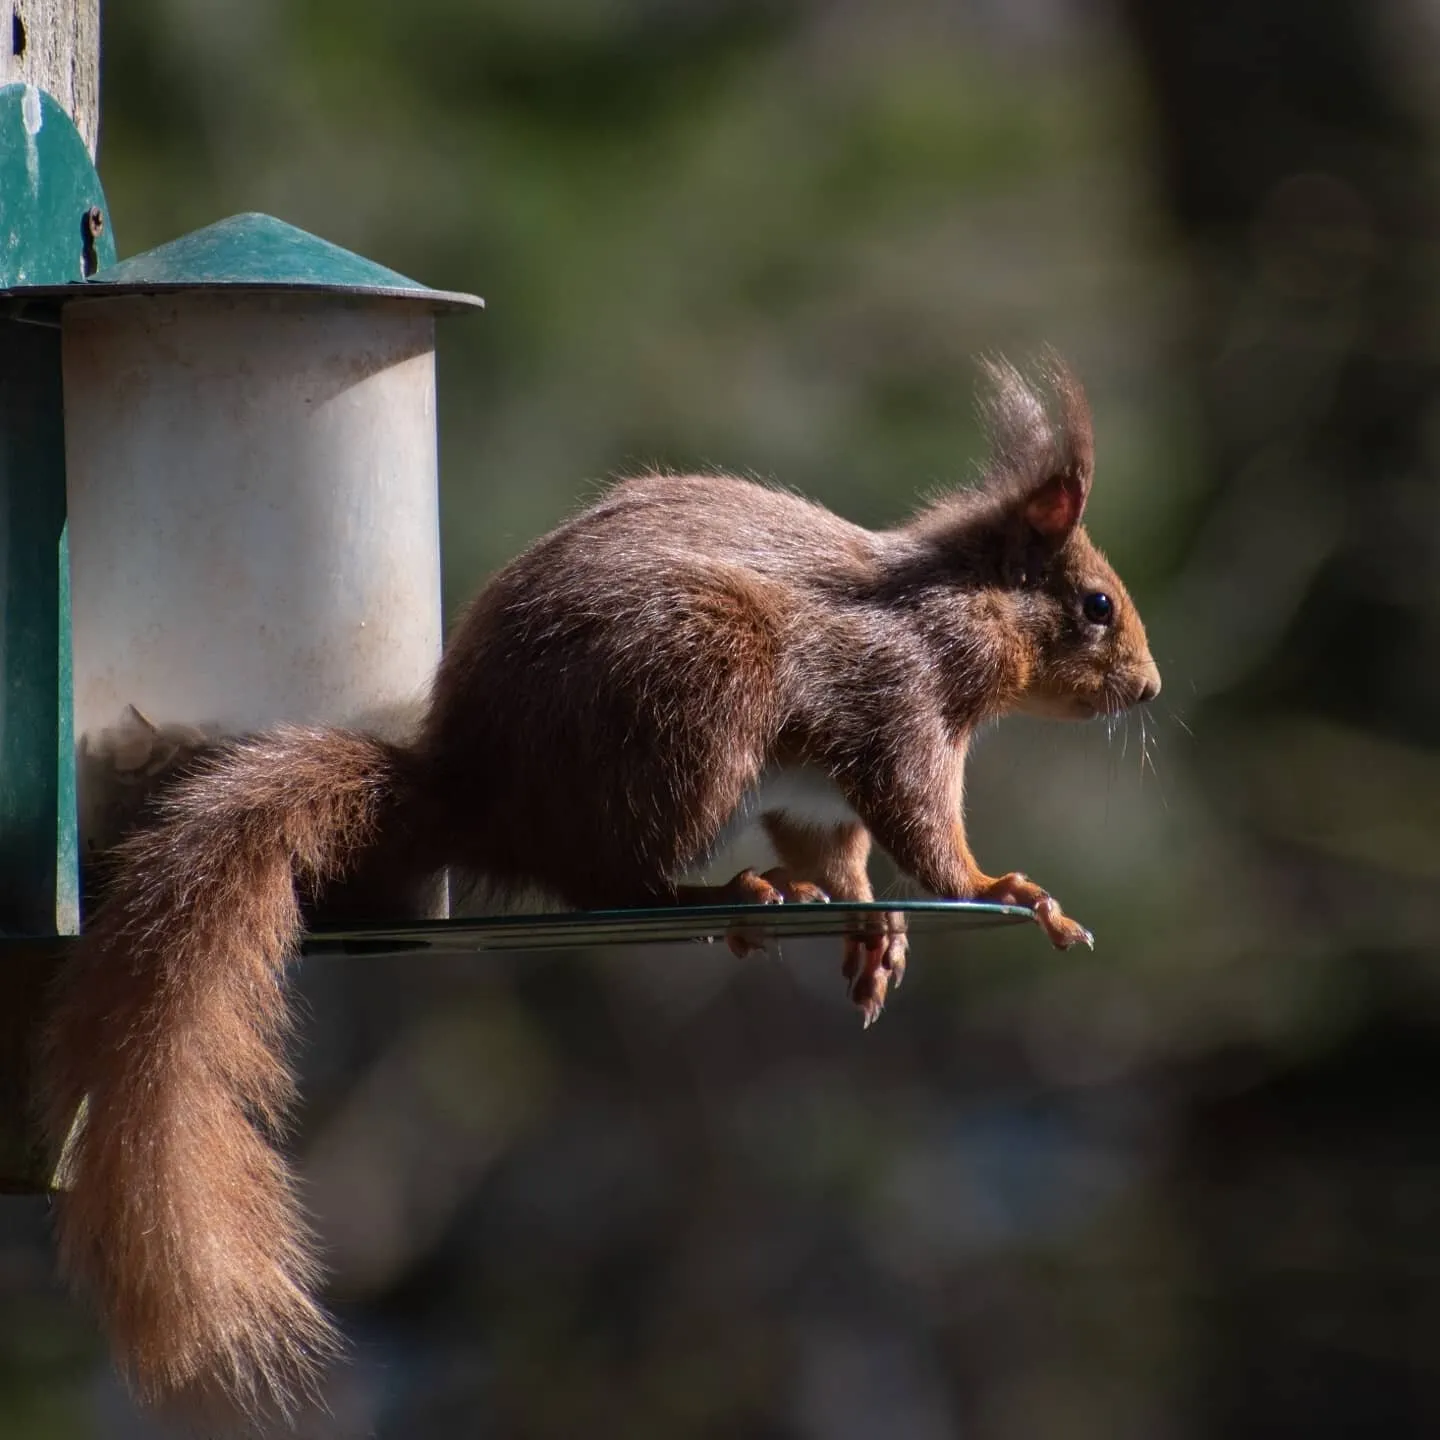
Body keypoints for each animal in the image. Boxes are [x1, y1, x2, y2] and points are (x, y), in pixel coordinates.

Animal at [40, 354, 1160, 1428]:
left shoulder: (818, 794)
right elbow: (921, 825)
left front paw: (876, 925)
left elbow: (840, 851)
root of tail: (480, 793)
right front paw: (998, 884)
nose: (1149, 689)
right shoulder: (895, 701)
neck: (949, 605)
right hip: (697, 693)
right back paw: (722, 896)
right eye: (1096, 605)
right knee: (603, 879)